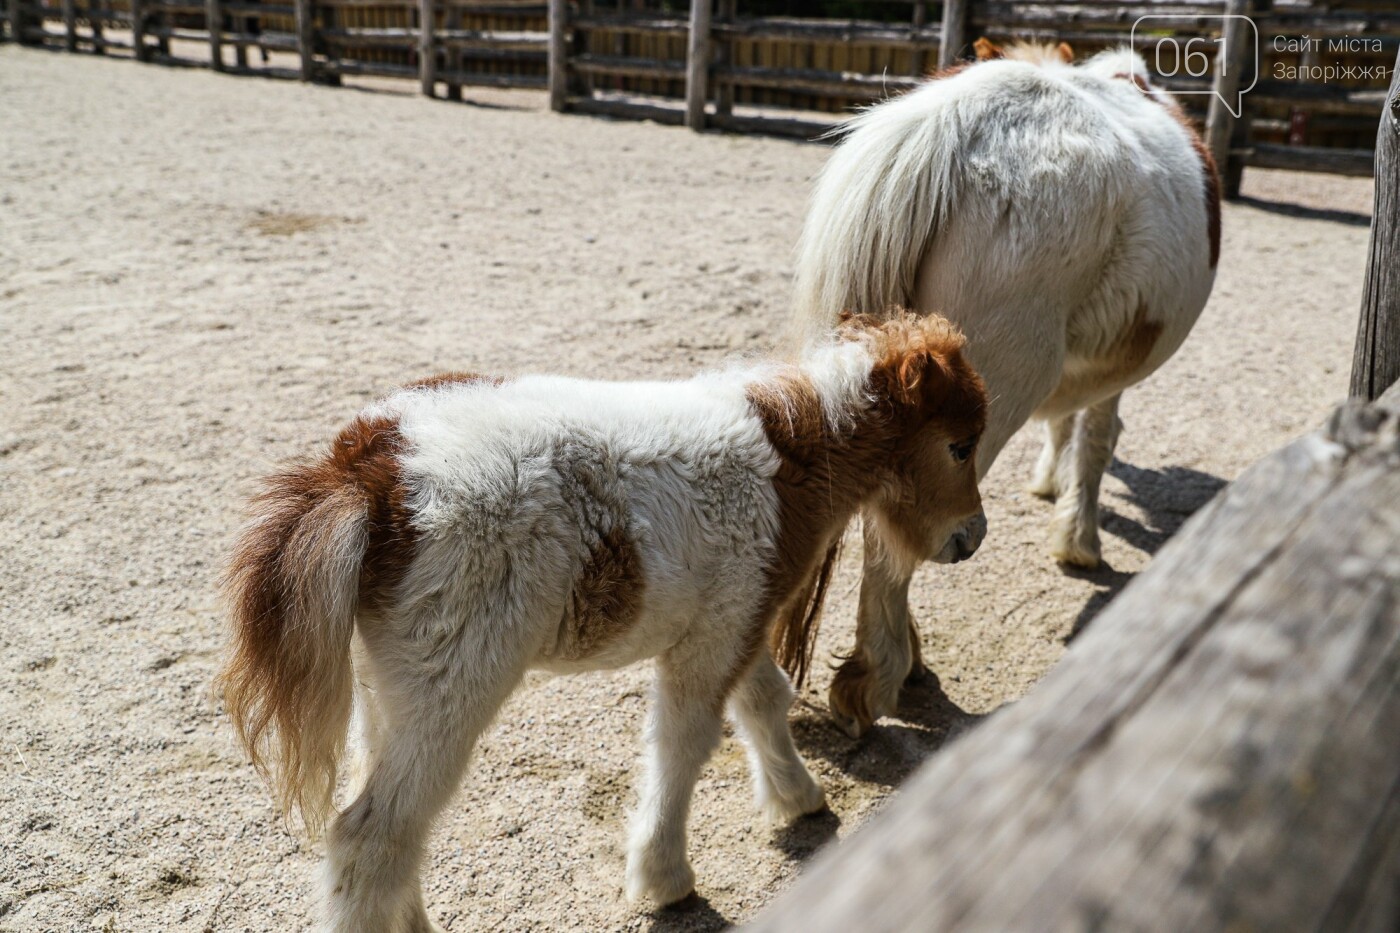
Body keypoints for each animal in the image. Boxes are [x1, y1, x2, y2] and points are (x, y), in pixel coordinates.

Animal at [215, 313, 985, 930]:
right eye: (960, 445)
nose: (971, 537)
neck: (789, 454)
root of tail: (369, 474)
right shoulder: (711, 639)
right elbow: (682, 744)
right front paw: (664, 879)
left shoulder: (735, 617)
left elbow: (763, 700)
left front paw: (796, 799)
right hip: (452, 686)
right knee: (371, 837)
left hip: (392, 690)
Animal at [795, 41, 1220, 734]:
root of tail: (944, 128)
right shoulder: (1116, 368)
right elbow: (1097, 438)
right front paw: (1079, 538)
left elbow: (1069, 423)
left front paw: (1051, 485)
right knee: (898, 534)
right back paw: (880, 674)